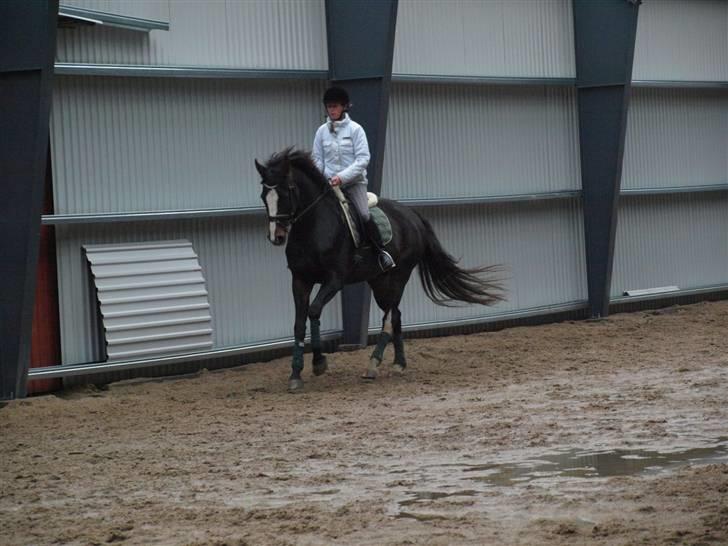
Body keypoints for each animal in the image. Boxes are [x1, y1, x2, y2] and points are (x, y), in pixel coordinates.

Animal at [253, 147, 504, 388]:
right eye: (264, 195)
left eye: (288, 191)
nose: (277, 236)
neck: (313, 229)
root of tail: (412, 215)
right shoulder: (300, 280)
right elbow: (298, 324)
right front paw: (295, 374)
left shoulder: (334, 280)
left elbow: (314, 311)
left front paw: (319, 363)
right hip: (378, 280)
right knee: (396, 315)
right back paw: (399, 363)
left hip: (398, 277)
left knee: (389, 317)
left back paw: (373, 364)